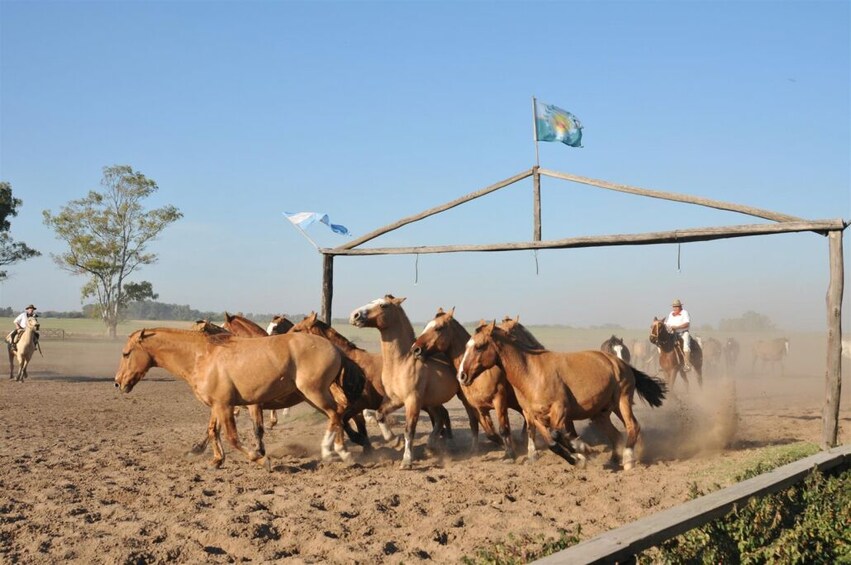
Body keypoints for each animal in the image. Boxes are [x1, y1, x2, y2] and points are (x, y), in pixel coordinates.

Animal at [113, 326, 360, 468]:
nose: (118, 383)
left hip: (315, 392)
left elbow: (232, 437)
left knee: (335, 414)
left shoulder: (225, 406)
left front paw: (260, 458)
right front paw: (215, 460)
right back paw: (340, 452)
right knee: (338, 415)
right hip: (312, 396)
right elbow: (213, 431)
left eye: (126, 354)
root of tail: (335, 349)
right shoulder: (217, 405)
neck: (201, 357)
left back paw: (332, 451)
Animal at [290, 310, 452, 452]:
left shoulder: (356, 404)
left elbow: (345, 422)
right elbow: (352, 425)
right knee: (441, 415)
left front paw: (368, 442)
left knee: (442, 415)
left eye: (298, 329)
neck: (350, 364)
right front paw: (366, 447)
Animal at [346, 294, 480, 470]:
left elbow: (409, 430)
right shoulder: (394, 400)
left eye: (383, 305)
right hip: (431, 402)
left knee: (471, 419)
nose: (354, 315)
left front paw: (406, 461)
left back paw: (470, 448)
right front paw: (394, 440)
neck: (401, 362)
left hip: (461, 398)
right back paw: (431, 445)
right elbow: (380, 414)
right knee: (440, 417)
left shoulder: (412, 401)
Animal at [412, 308, 524, 458]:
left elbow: (502, 428)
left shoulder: (499, 400)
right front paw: (474, 450)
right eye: (426, 326)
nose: (415, 349)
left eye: (438, 328)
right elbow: (482, 429)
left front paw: (511, 449)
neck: (480, 374)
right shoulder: (472, 405)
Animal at [460, 320, 664, 470]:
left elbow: (558, 434)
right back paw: (615, 460)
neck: (532, 373)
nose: (462, 375)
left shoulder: (560, 410)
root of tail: (620, 363)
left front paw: (582, 449)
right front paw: (578, 458)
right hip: (601, 413)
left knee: (632, 426)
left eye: (479, 346)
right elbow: (552, 443)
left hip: (622, 401)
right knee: (615, 434)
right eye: (467, 345)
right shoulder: (535, 416)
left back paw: (629, 459)